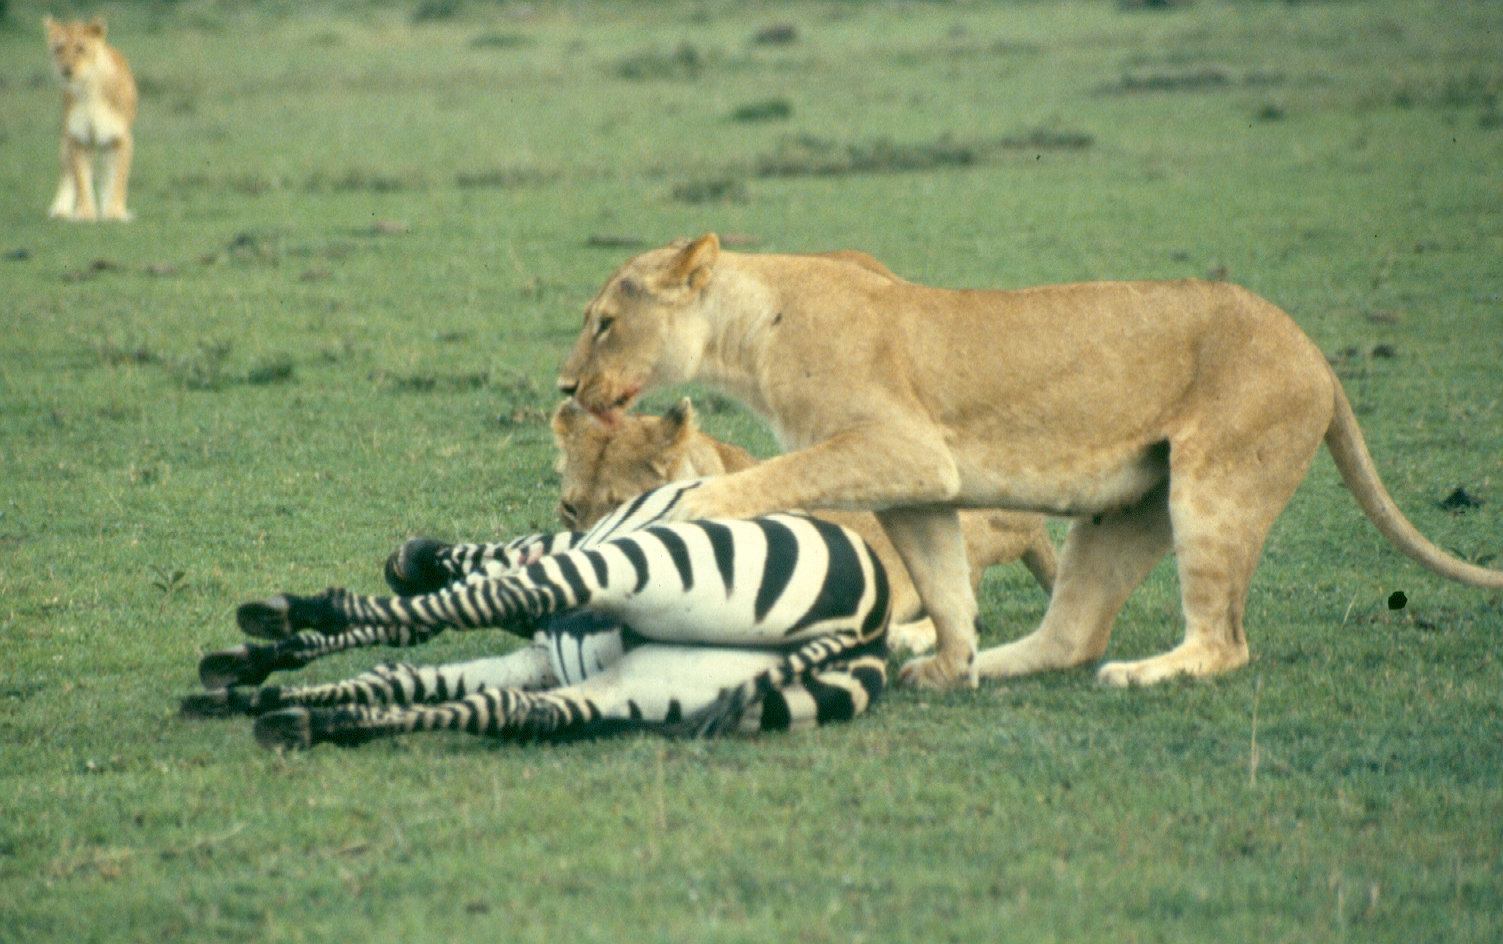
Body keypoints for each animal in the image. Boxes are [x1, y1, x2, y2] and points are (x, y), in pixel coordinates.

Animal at [182, 481, 892, 748]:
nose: (399, 560)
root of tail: (867, 630)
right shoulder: (537, 660)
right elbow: (401, 672)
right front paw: (252, 689)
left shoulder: (541, 573)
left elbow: (420, 618)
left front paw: (268, 651)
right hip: (664, 687)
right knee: (525, 712)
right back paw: (312, 724)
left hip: (635, 565)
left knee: (498, 600)